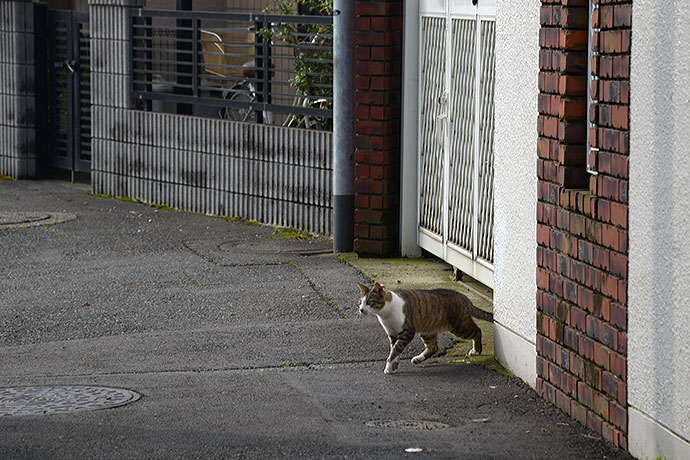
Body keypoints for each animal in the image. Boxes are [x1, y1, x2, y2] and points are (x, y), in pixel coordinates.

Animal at [358, 280, 492, 374]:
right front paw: (394, 366)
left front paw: (388, 367)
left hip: (459, 326)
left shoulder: (407, 332)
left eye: (369, 302)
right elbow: (395, 351)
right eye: (360, 302)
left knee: (477, 330)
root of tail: (464, 298)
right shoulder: (392, 334)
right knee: (433, 347)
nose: (361, 309)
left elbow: (395, 350)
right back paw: (418, 359)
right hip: (427, 330)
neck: (385, 314)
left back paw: (476, 350)